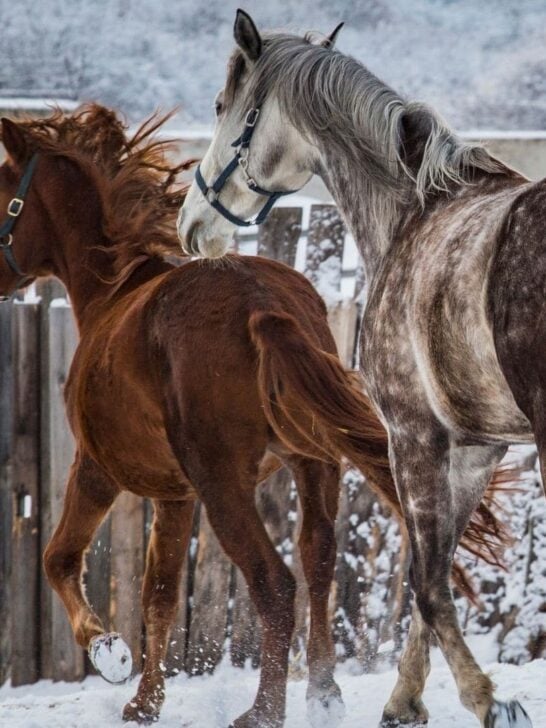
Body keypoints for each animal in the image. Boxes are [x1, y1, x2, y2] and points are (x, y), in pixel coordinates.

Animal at [176, 10, 543, 728]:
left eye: (222, 107)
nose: (192, 223)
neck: (416, 213)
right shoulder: (474, 449)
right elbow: (433, 571)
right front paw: (406, 701)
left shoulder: (413, 436)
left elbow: (425, 581)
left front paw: (486, 699)